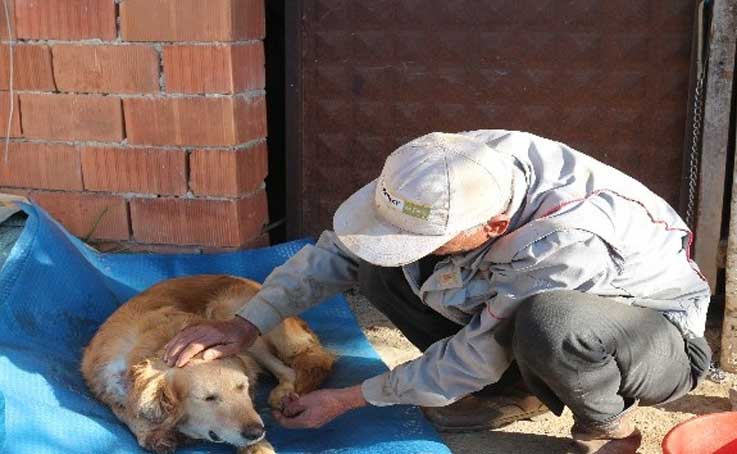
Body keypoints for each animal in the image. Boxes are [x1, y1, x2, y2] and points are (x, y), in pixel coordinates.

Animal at [80, 274, 334, 454]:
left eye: (242, 388)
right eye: (209, 398)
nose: (257, 432)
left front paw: (257, 447)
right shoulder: (106, 387)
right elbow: (127, 412)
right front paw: (153, 434)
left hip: (228, 314)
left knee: (289, 371)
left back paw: (282, 394)